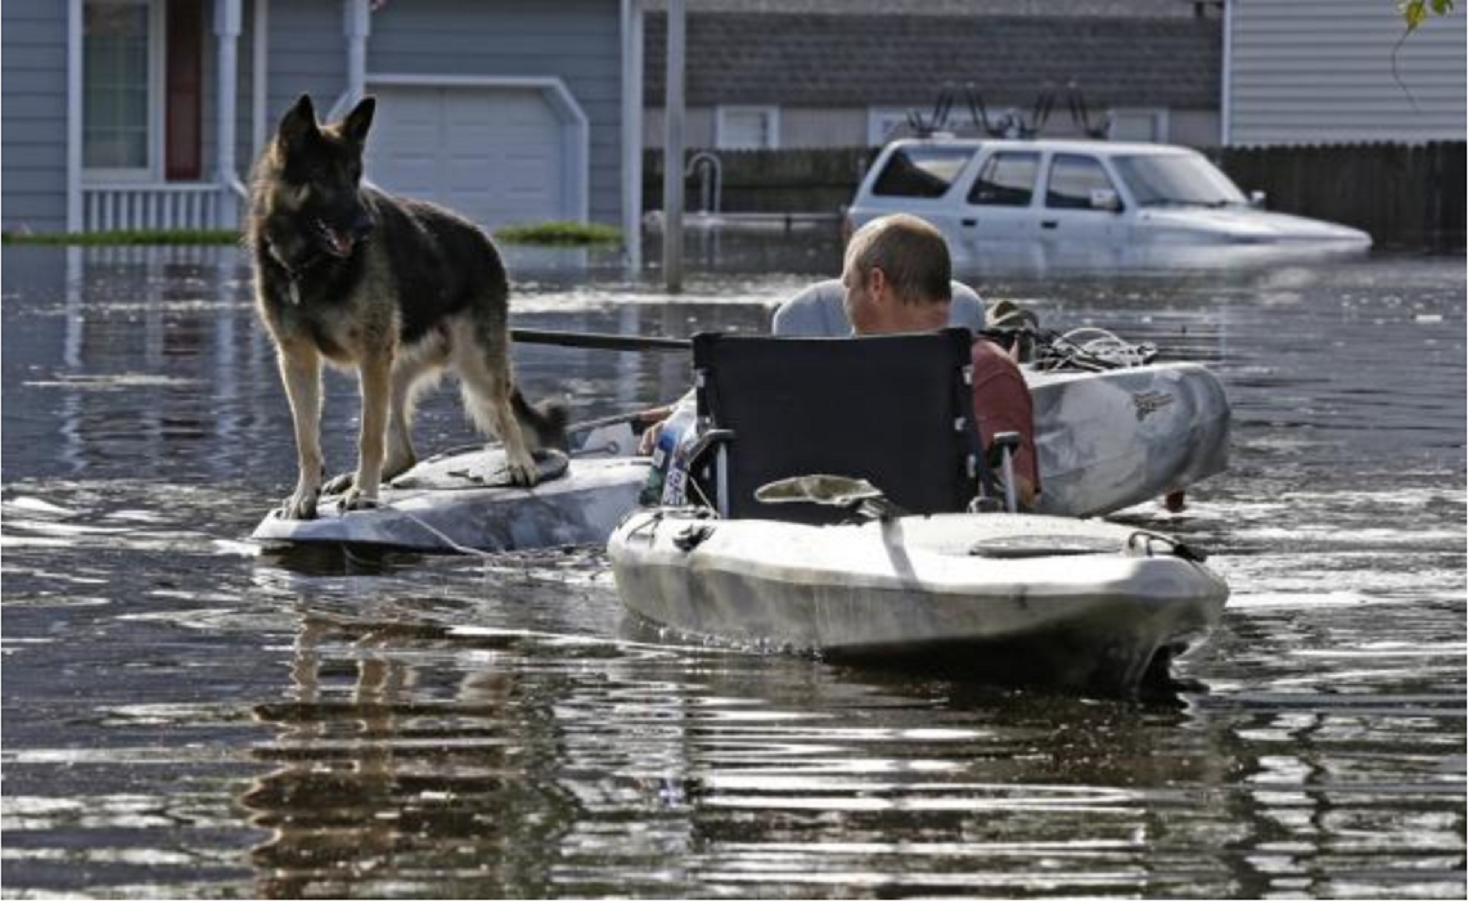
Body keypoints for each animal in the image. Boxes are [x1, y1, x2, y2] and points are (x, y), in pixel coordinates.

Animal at [249, 94, 563, 519]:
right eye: (324, 177)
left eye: (355, 176)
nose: (366, 227)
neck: (306, 265)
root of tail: (483, 239)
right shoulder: (297, 360)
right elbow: (306, 440)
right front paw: (305, 495)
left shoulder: (370, 354)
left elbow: (368, 435)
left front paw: (364, 494)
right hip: (394, 369)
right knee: (404, 453)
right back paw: (352, 479)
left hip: (471, 363)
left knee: (504, 415)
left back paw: (519, 464)